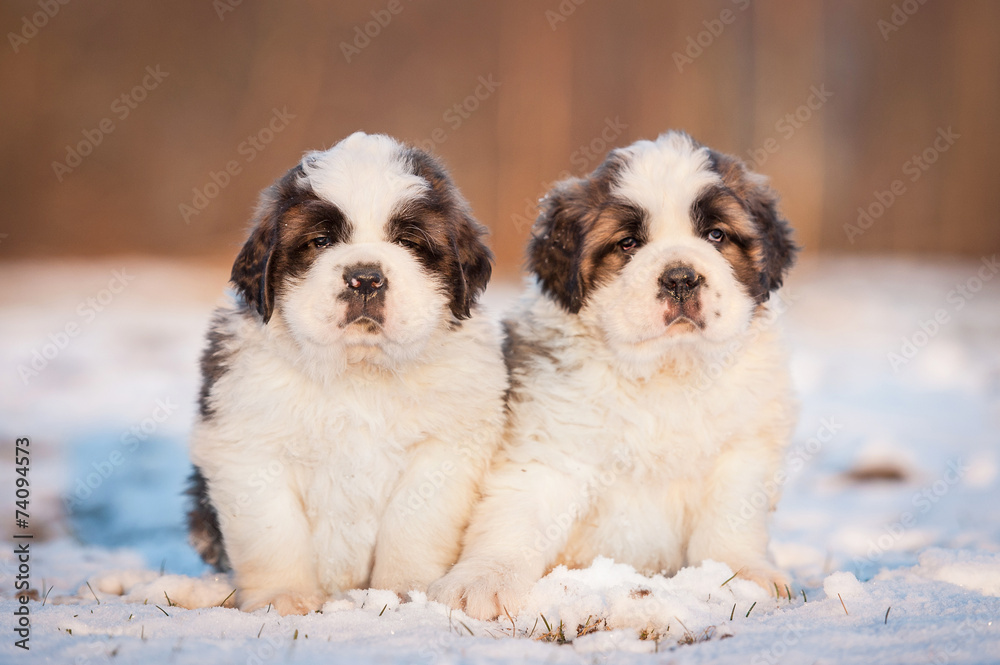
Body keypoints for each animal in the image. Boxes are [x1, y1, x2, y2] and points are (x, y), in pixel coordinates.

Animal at [186, 132, 508, 616]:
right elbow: (272, 532)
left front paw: (403, 592)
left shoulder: (443, 447)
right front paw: (284, 598)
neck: (358, 372)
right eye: (320, 241)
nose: (366, 279)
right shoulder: (248, 444)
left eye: (409, 241)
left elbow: (413, 524)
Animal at [428, 130, 796, 616]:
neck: (664, 374)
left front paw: (742, 575)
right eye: (627, 244)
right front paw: (482, 580)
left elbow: (730, 521)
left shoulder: (741, 450)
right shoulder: (550, 450)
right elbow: (514, 517)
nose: (681, 279)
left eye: (716, 235)